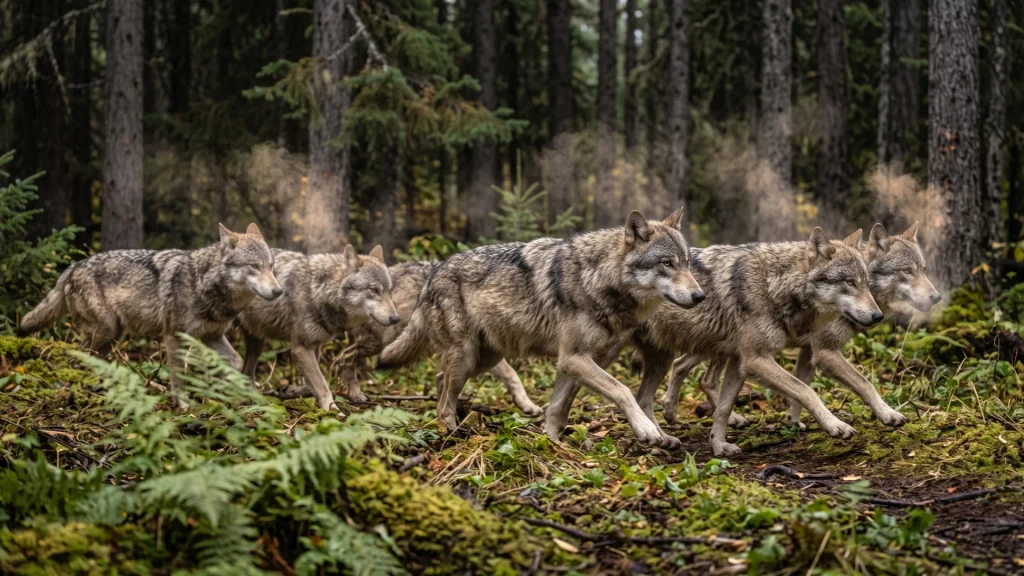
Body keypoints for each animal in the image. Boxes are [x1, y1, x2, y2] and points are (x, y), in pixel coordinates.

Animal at [19, 223, 282, 410]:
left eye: (271, 266)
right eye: (254, 266)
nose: (278, 291)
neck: (204, 284)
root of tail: (71, 268)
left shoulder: (211, 336)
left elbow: (237, 361)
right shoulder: (174, 336)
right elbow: (178, 375)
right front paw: (183, 404)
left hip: (112, 337)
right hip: (105, 332)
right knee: (78, 358)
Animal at [238, 245, 400, 411]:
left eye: (389, 290)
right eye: (374, 290)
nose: (396, 319)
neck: (317, 290)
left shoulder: (314, 345)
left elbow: (311, 384)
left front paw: (294, 391)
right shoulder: (301, 349)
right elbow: (321, 384)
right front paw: (332, 409)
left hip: (256, 342)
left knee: (246, 373)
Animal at [377, 208, 705, 447]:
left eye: (687, 263)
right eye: (667, 263)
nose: (700, 296)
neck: (598, 278)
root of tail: (435, 271)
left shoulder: (575, 362)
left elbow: (558, 409)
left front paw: (554, 446)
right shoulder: (574, 358)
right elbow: (622, 390)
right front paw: (647, 430)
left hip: (484, 359)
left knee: (440, 382)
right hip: (467, 357)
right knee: (444, 402)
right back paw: (452, 435)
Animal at [616, 228, 882, 456]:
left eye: (866, 283)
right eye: (850, 282)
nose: (878, 316)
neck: (773, 285)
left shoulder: (739, 362)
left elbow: (724, 409)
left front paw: (719, 446)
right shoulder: (756, 359)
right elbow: (806, 390)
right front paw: (834, 424)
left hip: (671, 355)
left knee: (650, 395)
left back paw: (663, 436)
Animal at [660, 222, 940, 429]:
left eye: (924, 270)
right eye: (907, 271)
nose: (936, 297)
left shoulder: (809, 352)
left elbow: (801, 389)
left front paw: (794, 422)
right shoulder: (825, 352)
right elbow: (862, 384)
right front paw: (887, 414)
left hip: (713, 344)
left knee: (686, 370)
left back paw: (675, 412)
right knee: (697, 375)